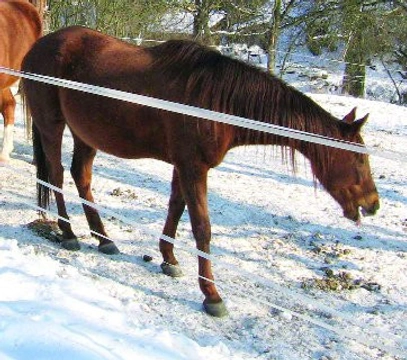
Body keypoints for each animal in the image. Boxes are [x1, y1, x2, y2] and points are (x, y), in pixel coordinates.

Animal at [21, 26, 380, 316]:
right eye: (360, 160)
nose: (372, 204)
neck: (216, 102)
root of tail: (39, 46)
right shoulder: (194, 168)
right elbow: (202, 228)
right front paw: (211, 294)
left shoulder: (184, 166)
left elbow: (176, 209)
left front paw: (169, 258)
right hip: (52, 126)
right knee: (56, 176)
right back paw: (69, 233)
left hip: (86, 134)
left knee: (81, 177)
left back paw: (104, 238)